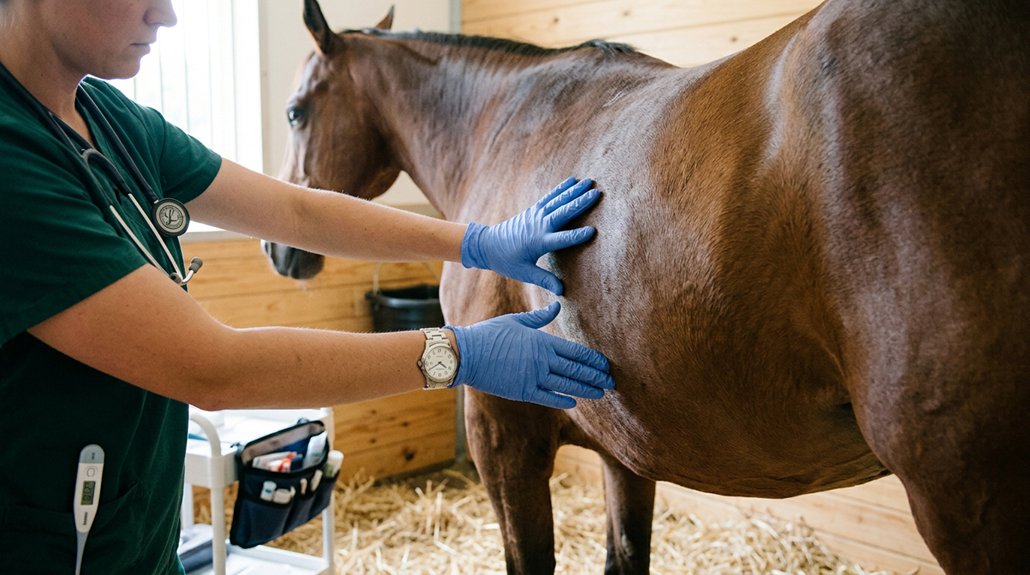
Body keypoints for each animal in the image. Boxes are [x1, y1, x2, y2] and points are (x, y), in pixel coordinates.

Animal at [265, 0, 1029, 572]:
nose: (277, 248)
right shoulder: (628, 448)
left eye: (296, 111)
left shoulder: (501, 432)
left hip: (964, 494)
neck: (503, 124)